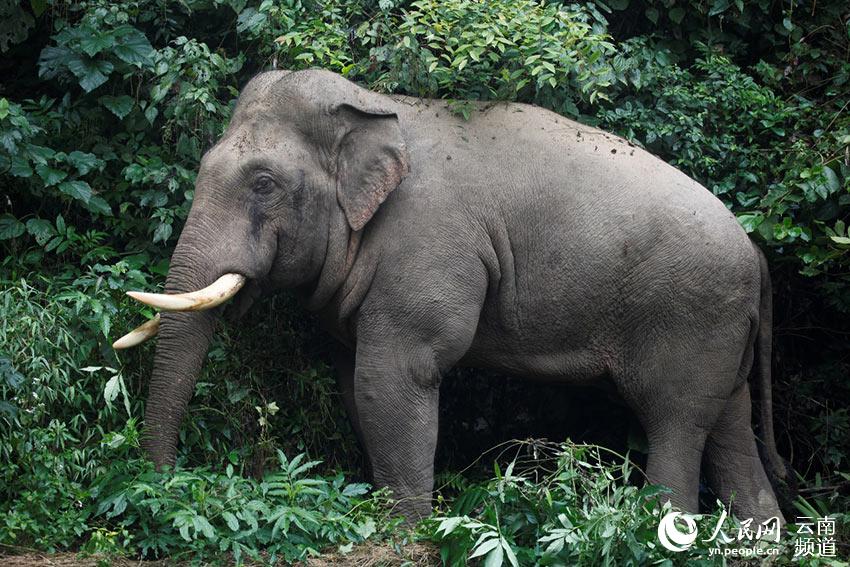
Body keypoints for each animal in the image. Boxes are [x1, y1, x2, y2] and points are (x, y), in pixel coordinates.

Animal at [114, 68, 787, 523]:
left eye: (262, 183)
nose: (163, 487)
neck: (376, 107)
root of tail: (755, 250)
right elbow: (355, 379)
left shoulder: (428, 247)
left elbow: (394, 377)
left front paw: (406, 530)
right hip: (723, 329)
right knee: (728, 425)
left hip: (692, 313)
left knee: (675, 421)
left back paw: (656, 529)